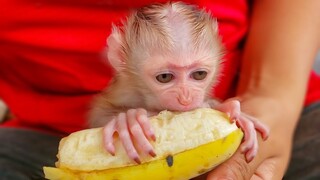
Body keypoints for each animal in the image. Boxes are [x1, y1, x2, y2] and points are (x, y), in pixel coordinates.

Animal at [89, 1, 268, 165]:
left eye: (199, 74)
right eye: (164, 77)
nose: (186, 98)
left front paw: (235, 113)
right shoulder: (124, 90)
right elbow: (97, 115)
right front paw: (127, 120)